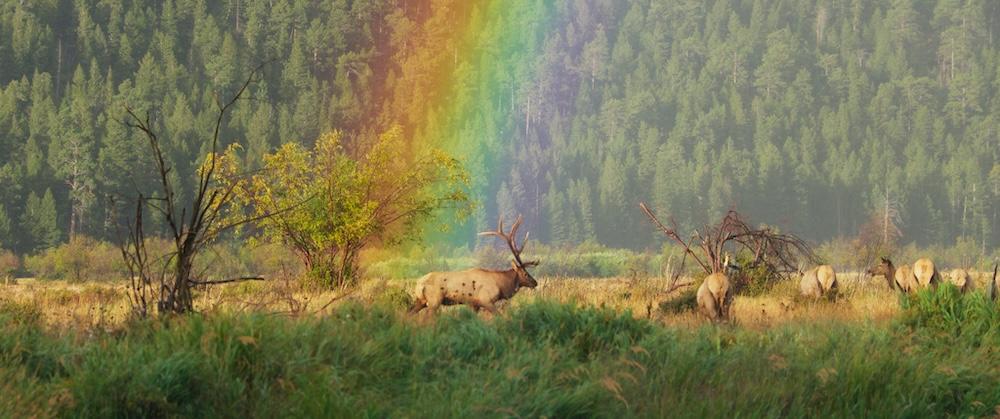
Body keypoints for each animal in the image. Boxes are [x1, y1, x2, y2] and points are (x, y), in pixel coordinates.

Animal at [408, 215, 538, 315]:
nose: (535, 282)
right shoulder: (486, 300)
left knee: (408, 314)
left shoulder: (474, 304)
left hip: (421, 301)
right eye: (525, 274)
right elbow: (499, 316)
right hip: (434, 300)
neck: (501, 286)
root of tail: (418, 284)